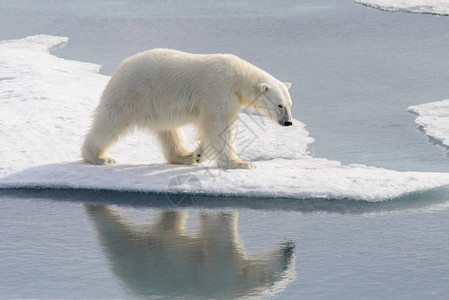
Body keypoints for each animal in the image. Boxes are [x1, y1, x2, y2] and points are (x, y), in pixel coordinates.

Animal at [82, 50, 292, 170]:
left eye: (290, 105)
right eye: (279, 105)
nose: (288, 122)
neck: (237, 76)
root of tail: (119, 70)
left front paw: (199, 154)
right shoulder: (217, 90)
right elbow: (219, 126)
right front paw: (240, 163)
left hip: (156, 106)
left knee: (169, 131)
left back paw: (185, 156)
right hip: (132, 94)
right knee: (111, 123)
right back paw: (99, 157)